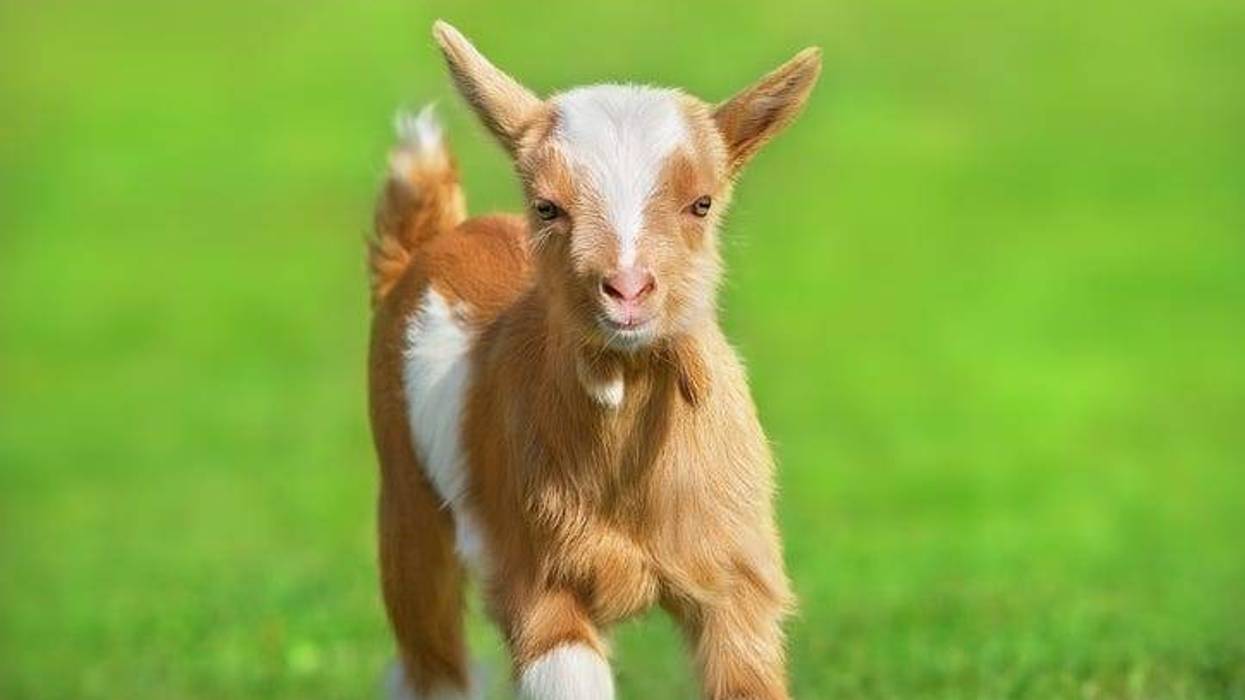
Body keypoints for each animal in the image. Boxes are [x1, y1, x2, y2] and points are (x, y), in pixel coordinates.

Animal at [369, 20, 820, 700]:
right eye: (546, 206)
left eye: (703, 203)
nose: (627, 290)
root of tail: (428, 241)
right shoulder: (537, 578)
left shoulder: (739, 583)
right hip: (406, 503)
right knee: (431, 662)